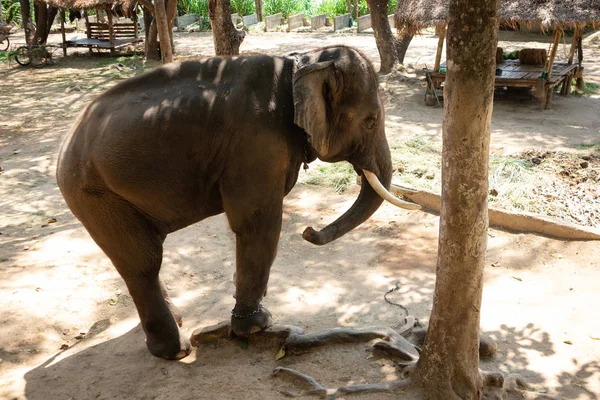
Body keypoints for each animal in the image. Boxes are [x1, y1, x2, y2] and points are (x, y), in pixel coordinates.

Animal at [58, 45, 420, 360]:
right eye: (370, 120)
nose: (308, 231)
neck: (302, 63)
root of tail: (67, 141)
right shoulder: (258, 143)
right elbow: (257, 222)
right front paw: (257, 326)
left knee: (143, 254)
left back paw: (177, 323)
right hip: (93, 194)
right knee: (143, 262)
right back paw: (174, 351)